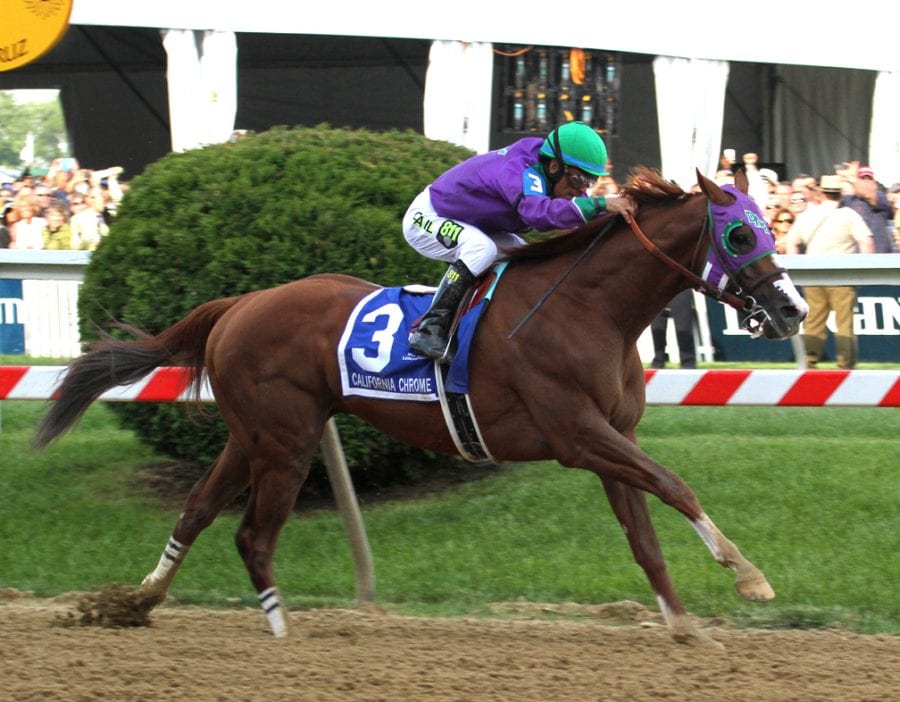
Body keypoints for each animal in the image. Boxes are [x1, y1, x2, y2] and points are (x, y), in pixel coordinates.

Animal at [37, 168, 808, 648]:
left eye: (770, 228)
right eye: (740, 234)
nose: (792, 309)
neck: (592, 310)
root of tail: (240, 304)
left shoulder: (611, 437)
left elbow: (644, 537)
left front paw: (683, 626)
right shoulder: (578, 434)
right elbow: (676, 485)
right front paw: (750, 576)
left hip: (254, 434)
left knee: (196, 510)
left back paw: (137, 601)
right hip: (284, 442)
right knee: (252, 536)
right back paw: (282, 636)